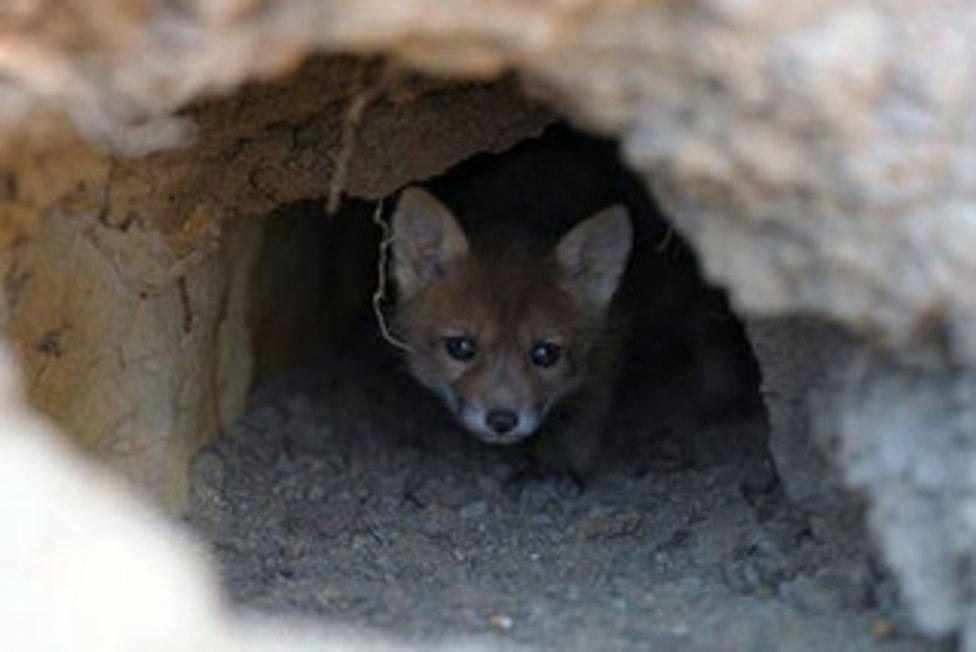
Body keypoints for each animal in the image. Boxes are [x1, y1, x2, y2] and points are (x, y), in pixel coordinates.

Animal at [388, 185, 632, 478]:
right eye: (461, 347)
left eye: (545, 353)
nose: (502, 421)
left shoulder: (606, 358)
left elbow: (580, 428)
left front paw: (562, 467)